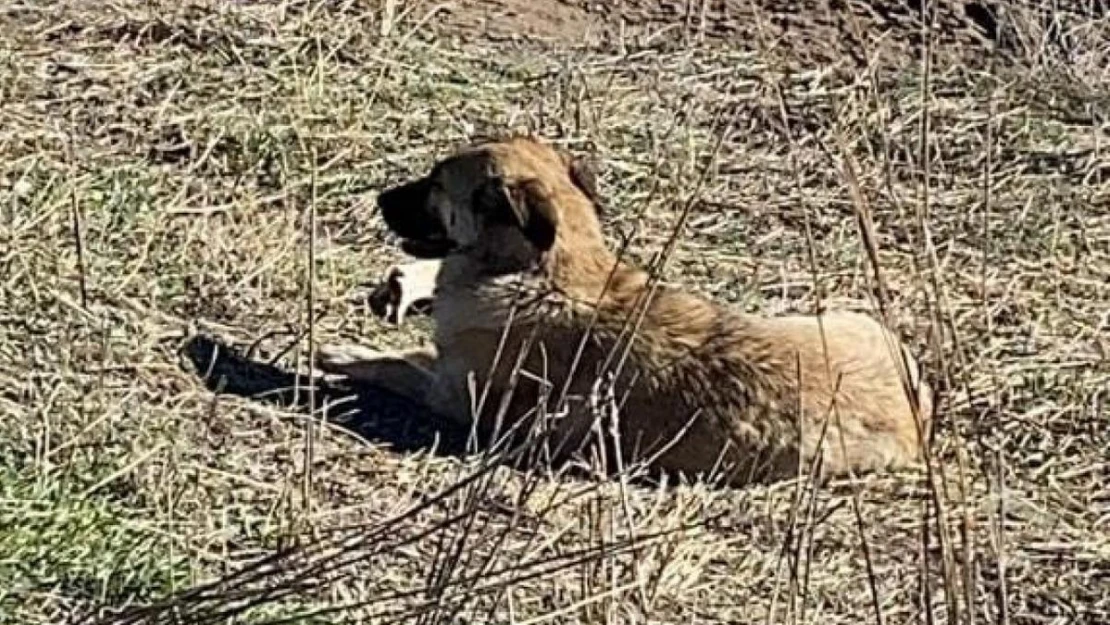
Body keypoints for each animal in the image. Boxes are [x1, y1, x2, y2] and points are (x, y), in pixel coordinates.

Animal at [317, 137, 932, 486]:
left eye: (436, 183)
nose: (377, 199)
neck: (548, 268)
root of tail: (916, 411)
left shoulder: (455, 396)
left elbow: (401, 363)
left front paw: (348, 354)